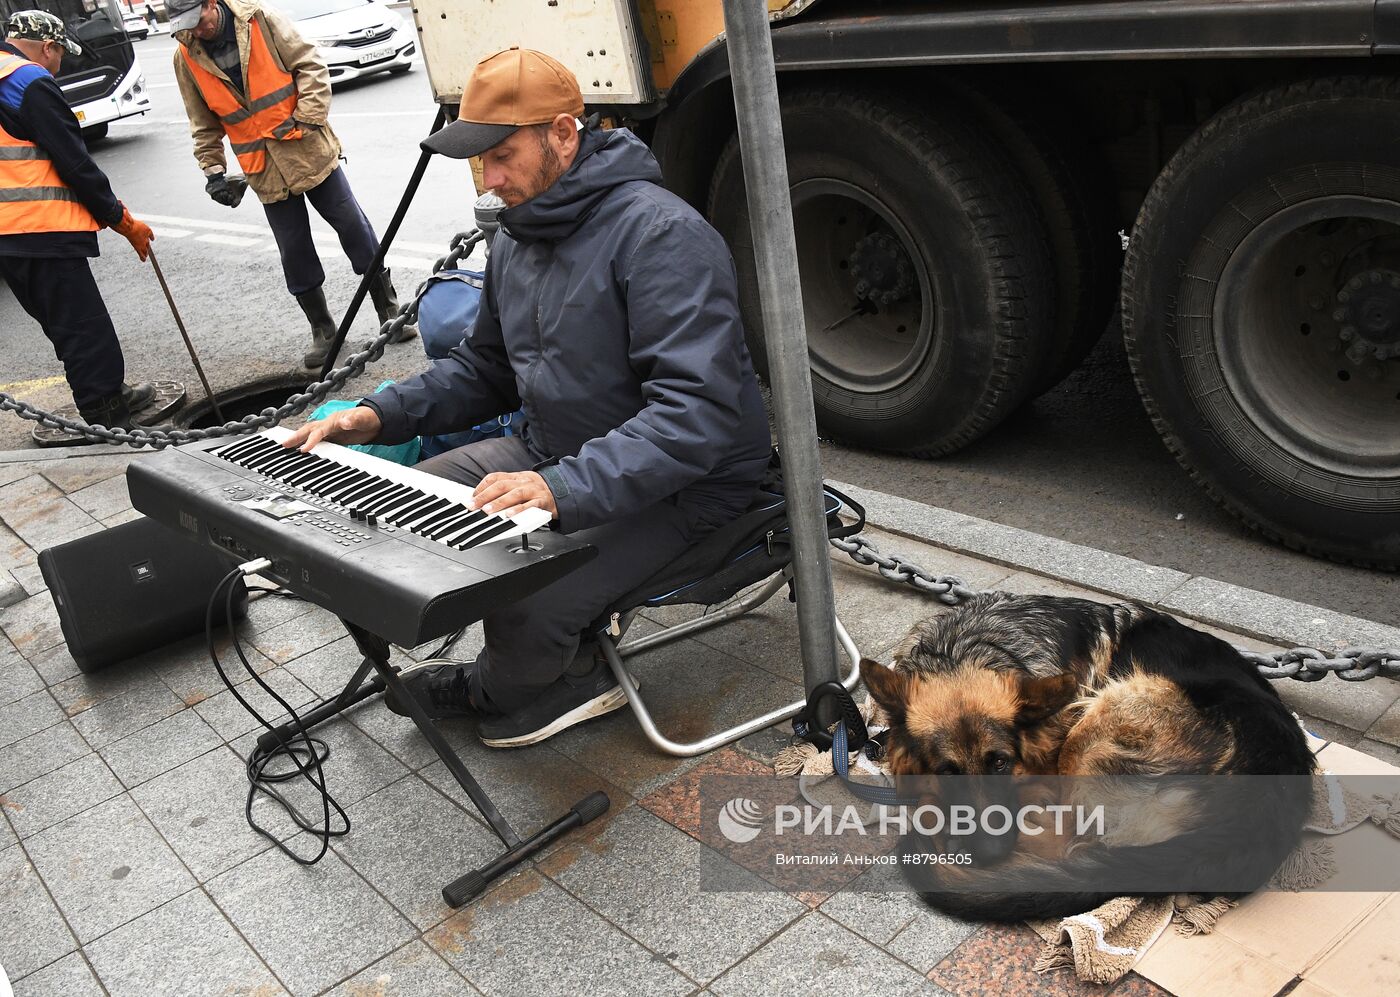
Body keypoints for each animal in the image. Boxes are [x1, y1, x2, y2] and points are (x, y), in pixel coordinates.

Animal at [856, 590, 1316, 918]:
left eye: (1001, 762)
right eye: (947, 771)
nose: (989, 855)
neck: (966, 649)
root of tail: (1257, 817)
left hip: (1103, 714)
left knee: (1069, 840)